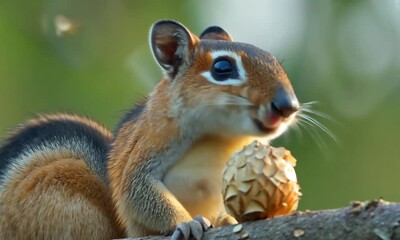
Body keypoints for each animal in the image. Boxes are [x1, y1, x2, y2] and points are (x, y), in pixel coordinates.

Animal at [0, 20, 296, 240]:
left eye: (275, 62)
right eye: (222, 67)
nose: (287, 105)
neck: (220, 138)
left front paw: (228, 218)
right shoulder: (149, 146)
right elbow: (138, 190)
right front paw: (185, 223)